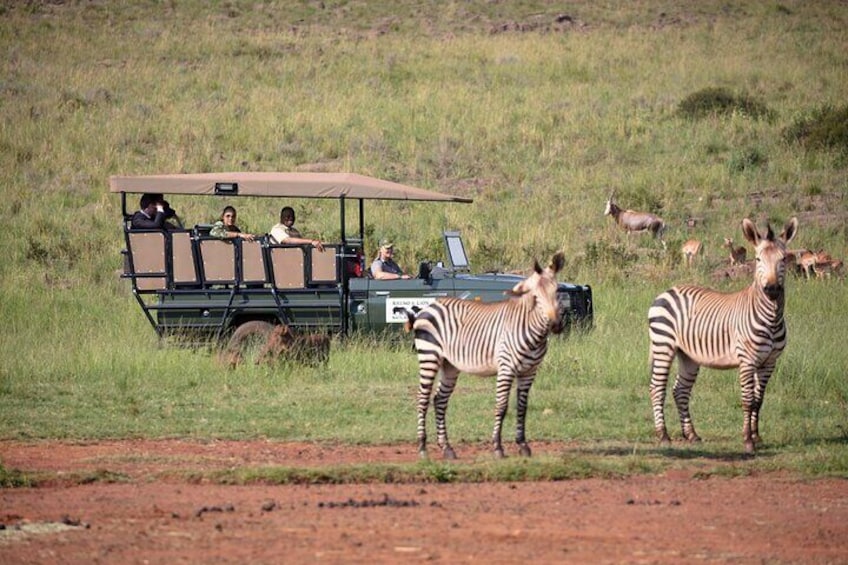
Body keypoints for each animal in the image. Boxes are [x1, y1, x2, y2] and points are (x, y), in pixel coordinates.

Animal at [407, 252, 565, 460]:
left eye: (557, 291)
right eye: (536, 297)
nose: (556, 325)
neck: (531, 330)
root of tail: (430, 306)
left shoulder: (529, 371)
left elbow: (522, 407)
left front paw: (523, 445)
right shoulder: (506, 368)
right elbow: (502, 406)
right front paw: (498, 447)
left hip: (449, 365)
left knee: (439, 400)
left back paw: (447, 448)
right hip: (429, 356)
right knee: (423, 398)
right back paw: (422, 447)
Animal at [648, 217, 798, 453]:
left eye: (783, 259)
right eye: (758, 259)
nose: (772, 289)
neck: (771, 319)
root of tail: (668, 290)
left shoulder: (769, 362)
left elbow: (759, 400)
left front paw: (757, 437)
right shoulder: (747, 360)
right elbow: (747, 400)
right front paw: (747, 440)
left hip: (688, 355)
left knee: (680, 390)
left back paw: (691, 434)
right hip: (663, 345)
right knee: (657, 388)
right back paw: (663, 435)